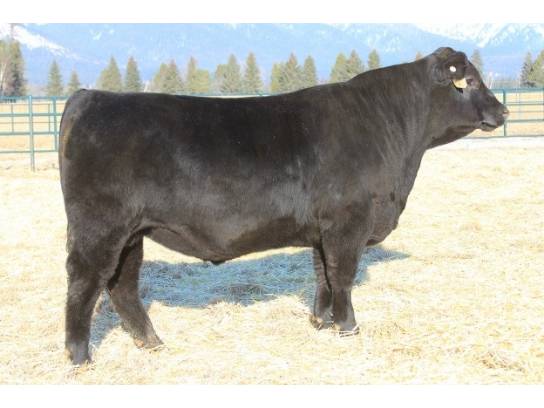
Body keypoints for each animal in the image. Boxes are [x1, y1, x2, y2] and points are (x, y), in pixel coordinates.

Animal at [59, 47, 508, 364]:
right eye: (469, 80)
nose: (503, 110)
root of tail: (89, 97)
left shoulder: (323, 230)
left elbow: (323, 275)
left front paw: (320, 322)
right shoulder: (349, 223)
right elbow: (342, 276)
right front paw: (349, 327)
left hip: (132, 233)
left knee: (122, 286)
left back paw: (152, 343)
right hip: (100, 227)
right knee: (84, 284)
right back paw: (80, 357)